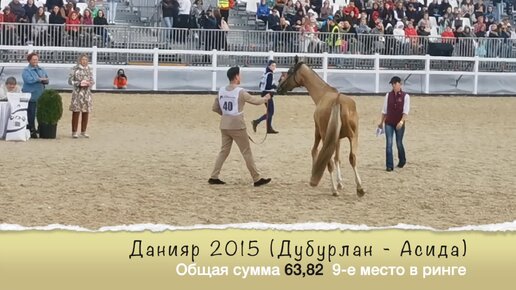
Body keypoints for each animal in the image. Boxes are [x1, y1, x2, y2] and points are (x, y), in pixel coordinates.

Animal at [276, 61, 364, 197]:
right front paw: (340, 183)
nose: (278, 88)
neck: (323, 93)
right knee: (352, 158)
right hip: (353, 136)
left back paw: (334, 190)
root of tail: (338, 101)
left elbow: (314, 151)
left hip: (324, 135)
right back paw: (359, 188)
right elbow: (337, 158)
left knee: (328, 161)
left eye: (290, 71)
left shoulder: (317, 132)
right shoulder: (337, 138)